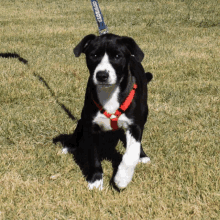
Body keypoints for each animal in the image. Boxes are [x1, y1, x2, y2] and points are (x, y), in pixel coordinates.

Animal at [63, 33, 152, 190]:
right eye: (94, 55)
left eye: (117, 56)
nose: (102, 75)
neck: (110, 92)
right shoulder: (91, 125)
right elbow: (93, 156)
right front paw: (95, 180)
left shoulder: (135, 124)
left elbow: (132, 153)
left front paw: (122, 178)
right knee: (79, 123)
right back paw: (71, 144)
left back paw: (142, 155)